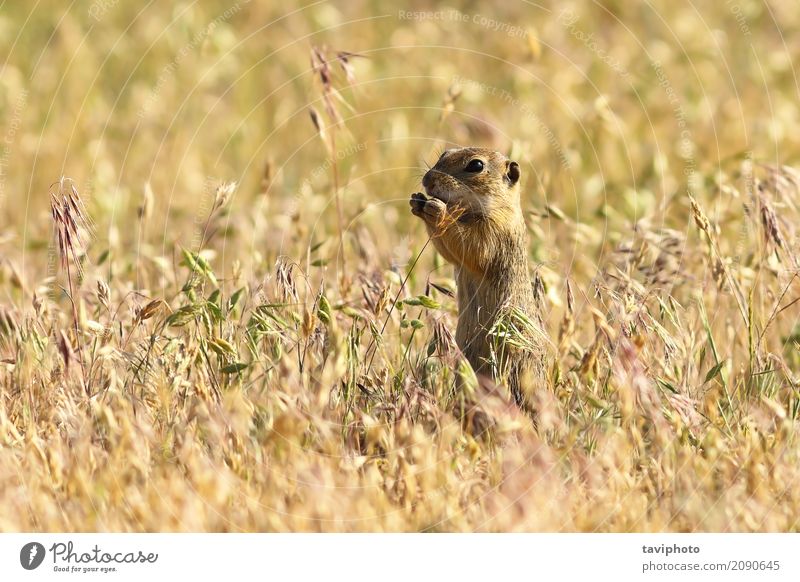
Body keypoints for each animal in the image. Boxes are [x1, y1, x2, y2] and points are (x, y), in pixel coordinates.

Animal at [410, 148, 548, 408]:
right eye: (444, 154)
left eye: (476, 165)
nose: (428, 180)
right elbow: (448, 251)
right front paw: (416, 201)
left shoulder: (494, 231)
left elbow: (471, 245)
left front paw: (437, 210)